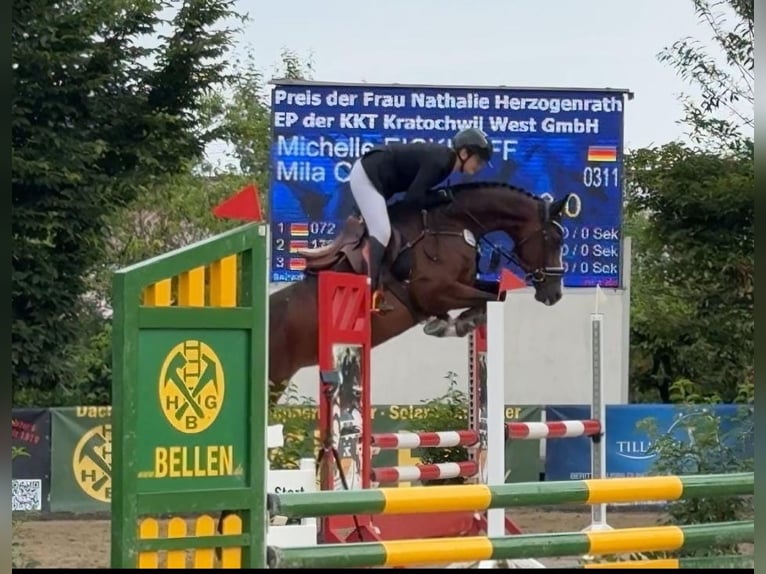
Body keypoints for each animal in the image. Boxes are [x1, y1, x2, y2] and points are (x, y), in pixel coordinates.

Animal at [270, 182, 568, 402]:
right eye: (555, 239)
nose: (555, 294)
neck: (452, 225)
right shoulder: (433, 292)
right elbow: (492, 297)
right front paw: (458, 323)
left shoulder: (465, 283)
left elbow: (497, 293)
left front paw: (456, 322)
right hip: (275, 377)